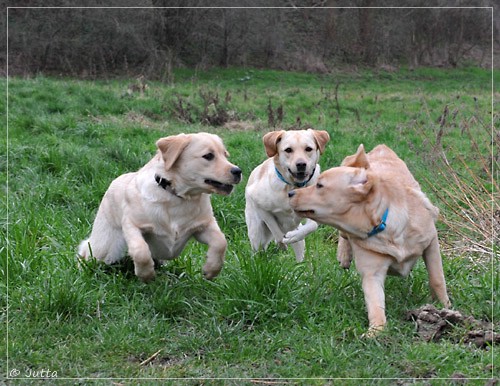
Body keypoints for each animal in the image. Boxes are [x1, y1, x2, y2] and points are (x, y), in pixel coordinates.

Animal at [78, 132, 242, 280]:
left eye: (225, 155)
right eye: (208, 156)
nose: (238, 171)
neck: (177, 196)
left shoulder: (203, 225)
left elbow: (221, 241)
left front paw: (211, 270)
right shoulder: (132, 224)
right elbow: (140, 251)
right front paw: (146, 275)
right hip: (104, 247)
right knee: (86, 251)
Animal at [245, 128, 330, 260]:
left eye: (308, 149)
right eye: (288, 150)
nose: (301, 164)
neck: (293, 187)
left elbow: (312, 226)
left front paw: (293, 236)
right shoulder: (256, 200)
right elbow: (275, 229)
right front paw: (282, 243)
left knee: (299, 251)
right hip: (256, 233)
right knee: (258, 250)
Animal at [288, 144, 452, 334]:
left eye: (320, 185)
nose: (290, 193)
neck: (383, 223)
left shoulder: (431, 242)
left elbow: (437, 278)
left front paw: (444, 307)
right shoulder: (372, 272)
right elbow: (375, 302)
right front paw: (376, 330)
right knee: (343, 236)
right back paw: (344, 254)